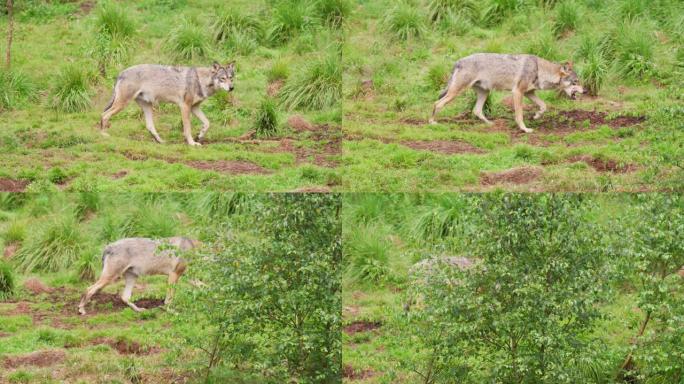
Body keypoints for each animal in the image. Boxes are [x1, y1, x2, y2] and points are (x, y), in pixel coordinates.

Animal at [99, 61, 235, 146]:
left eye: (231, 78)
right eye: (222, 79)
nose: (232, 88)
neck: (200, 81)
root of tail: (121, 73)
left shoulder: (194, 107)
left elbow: (207, 123)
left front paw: (200, 136)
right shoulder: (185, 106)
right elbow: (187, 129)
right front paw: (192, 143)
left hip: (147, 106)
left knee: (149, 126)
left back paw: (161, 141)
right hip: (123, 104)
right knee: (104, 115)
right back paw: (103, 134)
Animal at [430, 53, 584, 133]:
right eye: (576, 82)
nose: (586, 90)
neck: (539, 70)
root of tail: (458, 61)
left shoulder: (529, 93)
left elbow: (544, 106)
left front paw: (536, 116)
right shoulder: (518, 92)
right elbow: (519, 115)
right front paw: (525, 129)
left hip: (484, 93)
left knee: (477, 110)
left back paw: (490, 124)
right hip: (456, 92)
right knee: (437, 103)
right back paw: (432, 122)